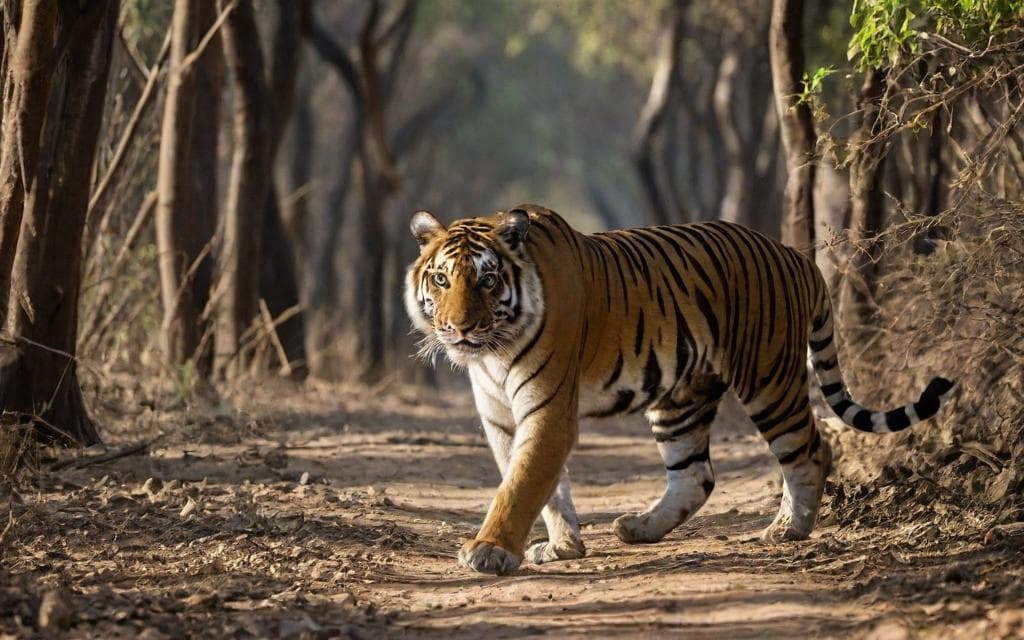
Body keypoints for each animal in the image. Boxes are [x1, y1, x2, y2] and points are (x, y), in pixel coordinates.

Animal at [404, 204, 954, 576]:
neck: (492, 353)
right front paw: (562, 548)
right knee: (695, 476)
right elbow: (543, 487)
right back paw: (639, 527)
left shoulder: (548, 407)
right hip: (682, 398)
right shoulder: (501, 417)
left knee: (812, 449)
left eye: (487, 280)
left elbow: (522, 483)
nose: (458, 329)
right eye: (441, 279)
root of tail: (796, 257)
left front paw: (490, 551)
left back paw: (787, 529)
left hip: (768, 378)